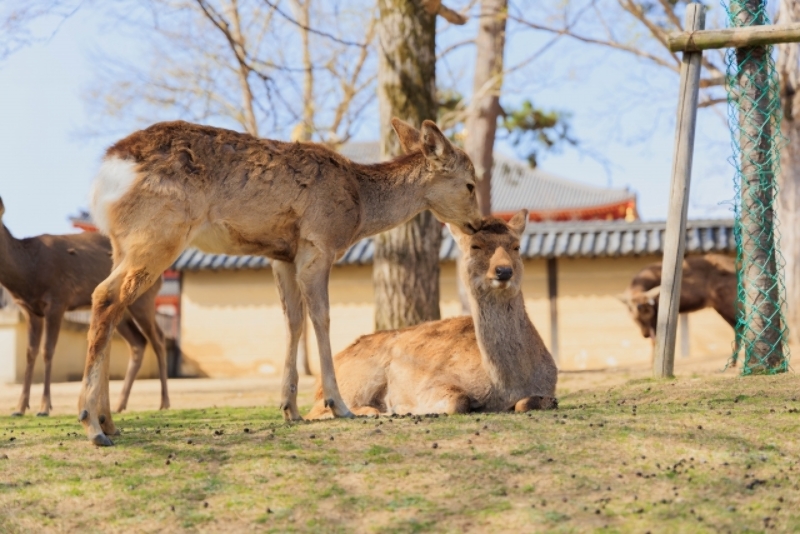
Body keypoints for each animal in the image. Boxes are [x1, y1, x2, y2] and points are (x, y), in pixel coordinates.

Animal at [0, 196, 169, 417]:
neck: (28, 273)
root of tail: (163, 276)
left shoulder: (58, 299)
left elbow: (48, 350)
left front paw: (44, 407)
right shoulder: (30, 310)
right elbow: (30, 352)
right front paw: (20, 408)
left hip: (144, 299)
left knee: (158, 339)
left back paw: (164, 402)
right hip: (122, 311)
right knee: (138, 342)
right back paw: (119, 405)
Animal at [81, 118, 483, 445]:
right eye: (470, 184)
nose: (478, 224)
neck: (359, 209)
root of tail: (107, 172)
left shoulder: (282, 256)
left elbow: (293, 321)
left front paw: (290, 409)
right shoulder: (317, 245)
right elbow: (321, 318)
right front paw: (339, 405)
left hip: (122, 243)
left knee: (113, 307)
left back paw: (110, 421)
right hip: (160, 231)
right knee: (104, 295)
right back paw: (92, 425)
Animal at [306, 210, 558, 419]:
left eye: (516, 246)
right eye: (475, 246)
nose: (504, 271)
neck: (506, 385)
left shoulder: (549, 387)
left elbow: (533, 402)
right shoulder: (432, 382)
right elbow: (459, 400)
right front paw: (405, 407)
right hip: (357, 378)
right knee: (319, 409)